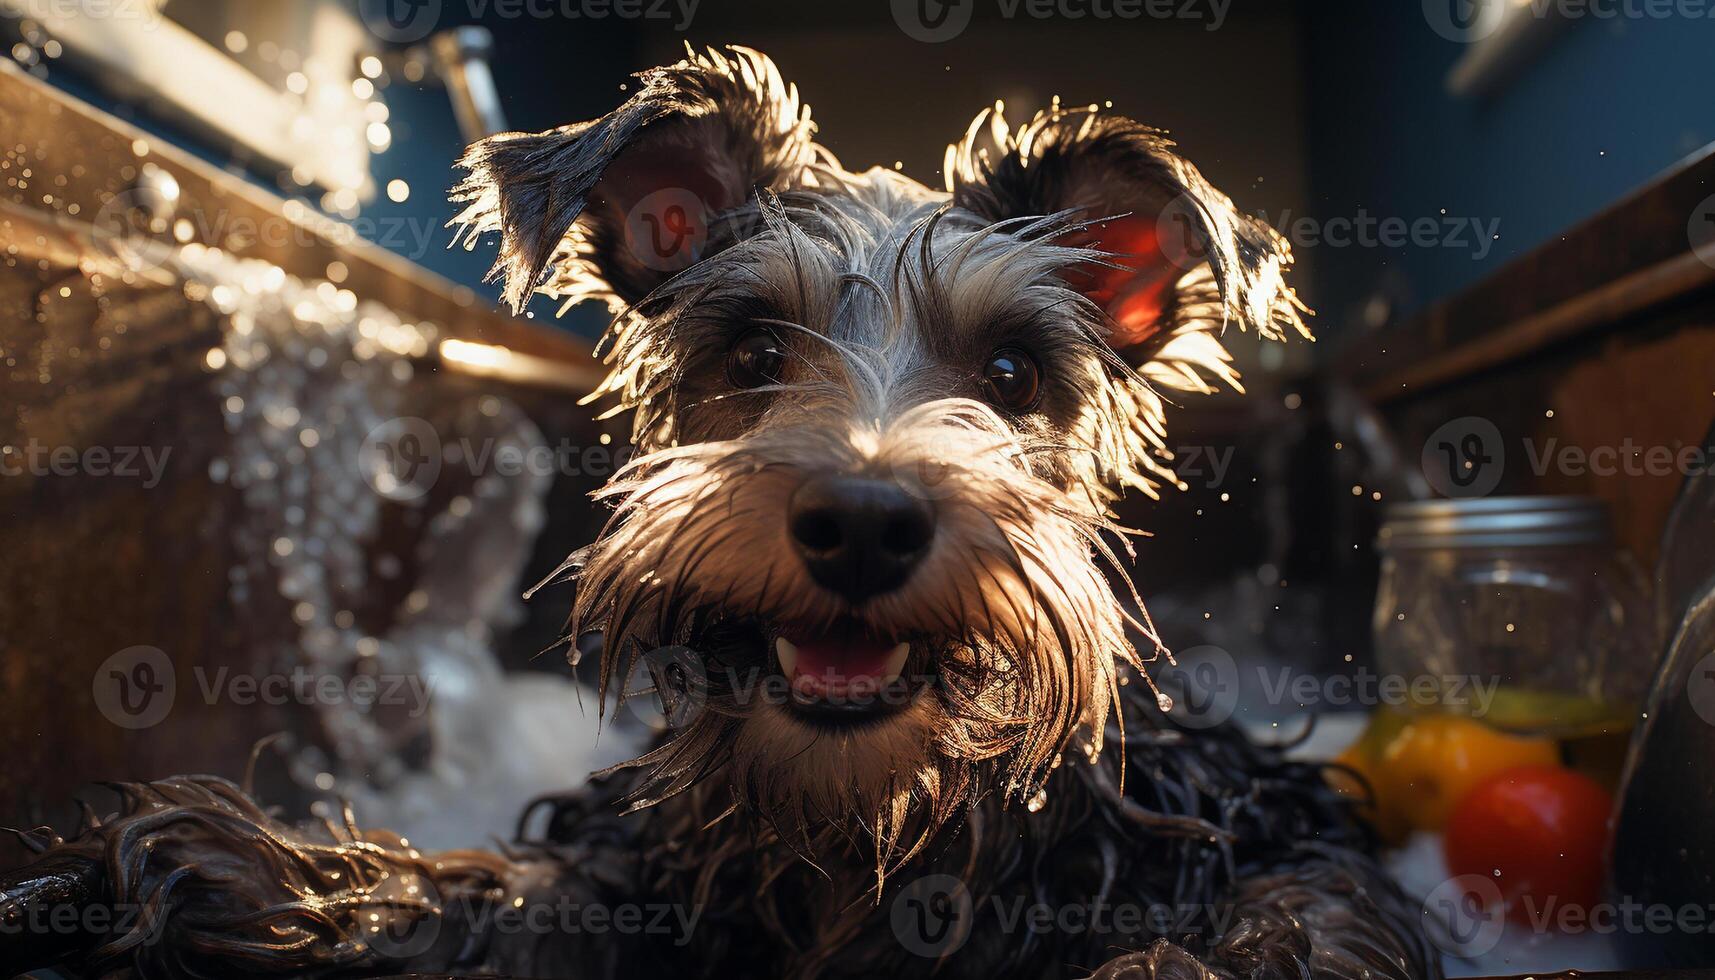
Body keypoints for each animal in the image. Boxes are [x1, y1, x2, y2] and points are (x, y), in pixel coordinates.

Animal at [3, 44, 1433, 980]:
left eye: (1012, 371)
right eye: (751, 350)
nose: (861, 519)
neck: (874, 821)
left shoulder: (1269, 823)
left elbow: (1289, 918)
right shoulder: (650, 862)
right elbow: (509, 888)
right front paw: (252, 873)